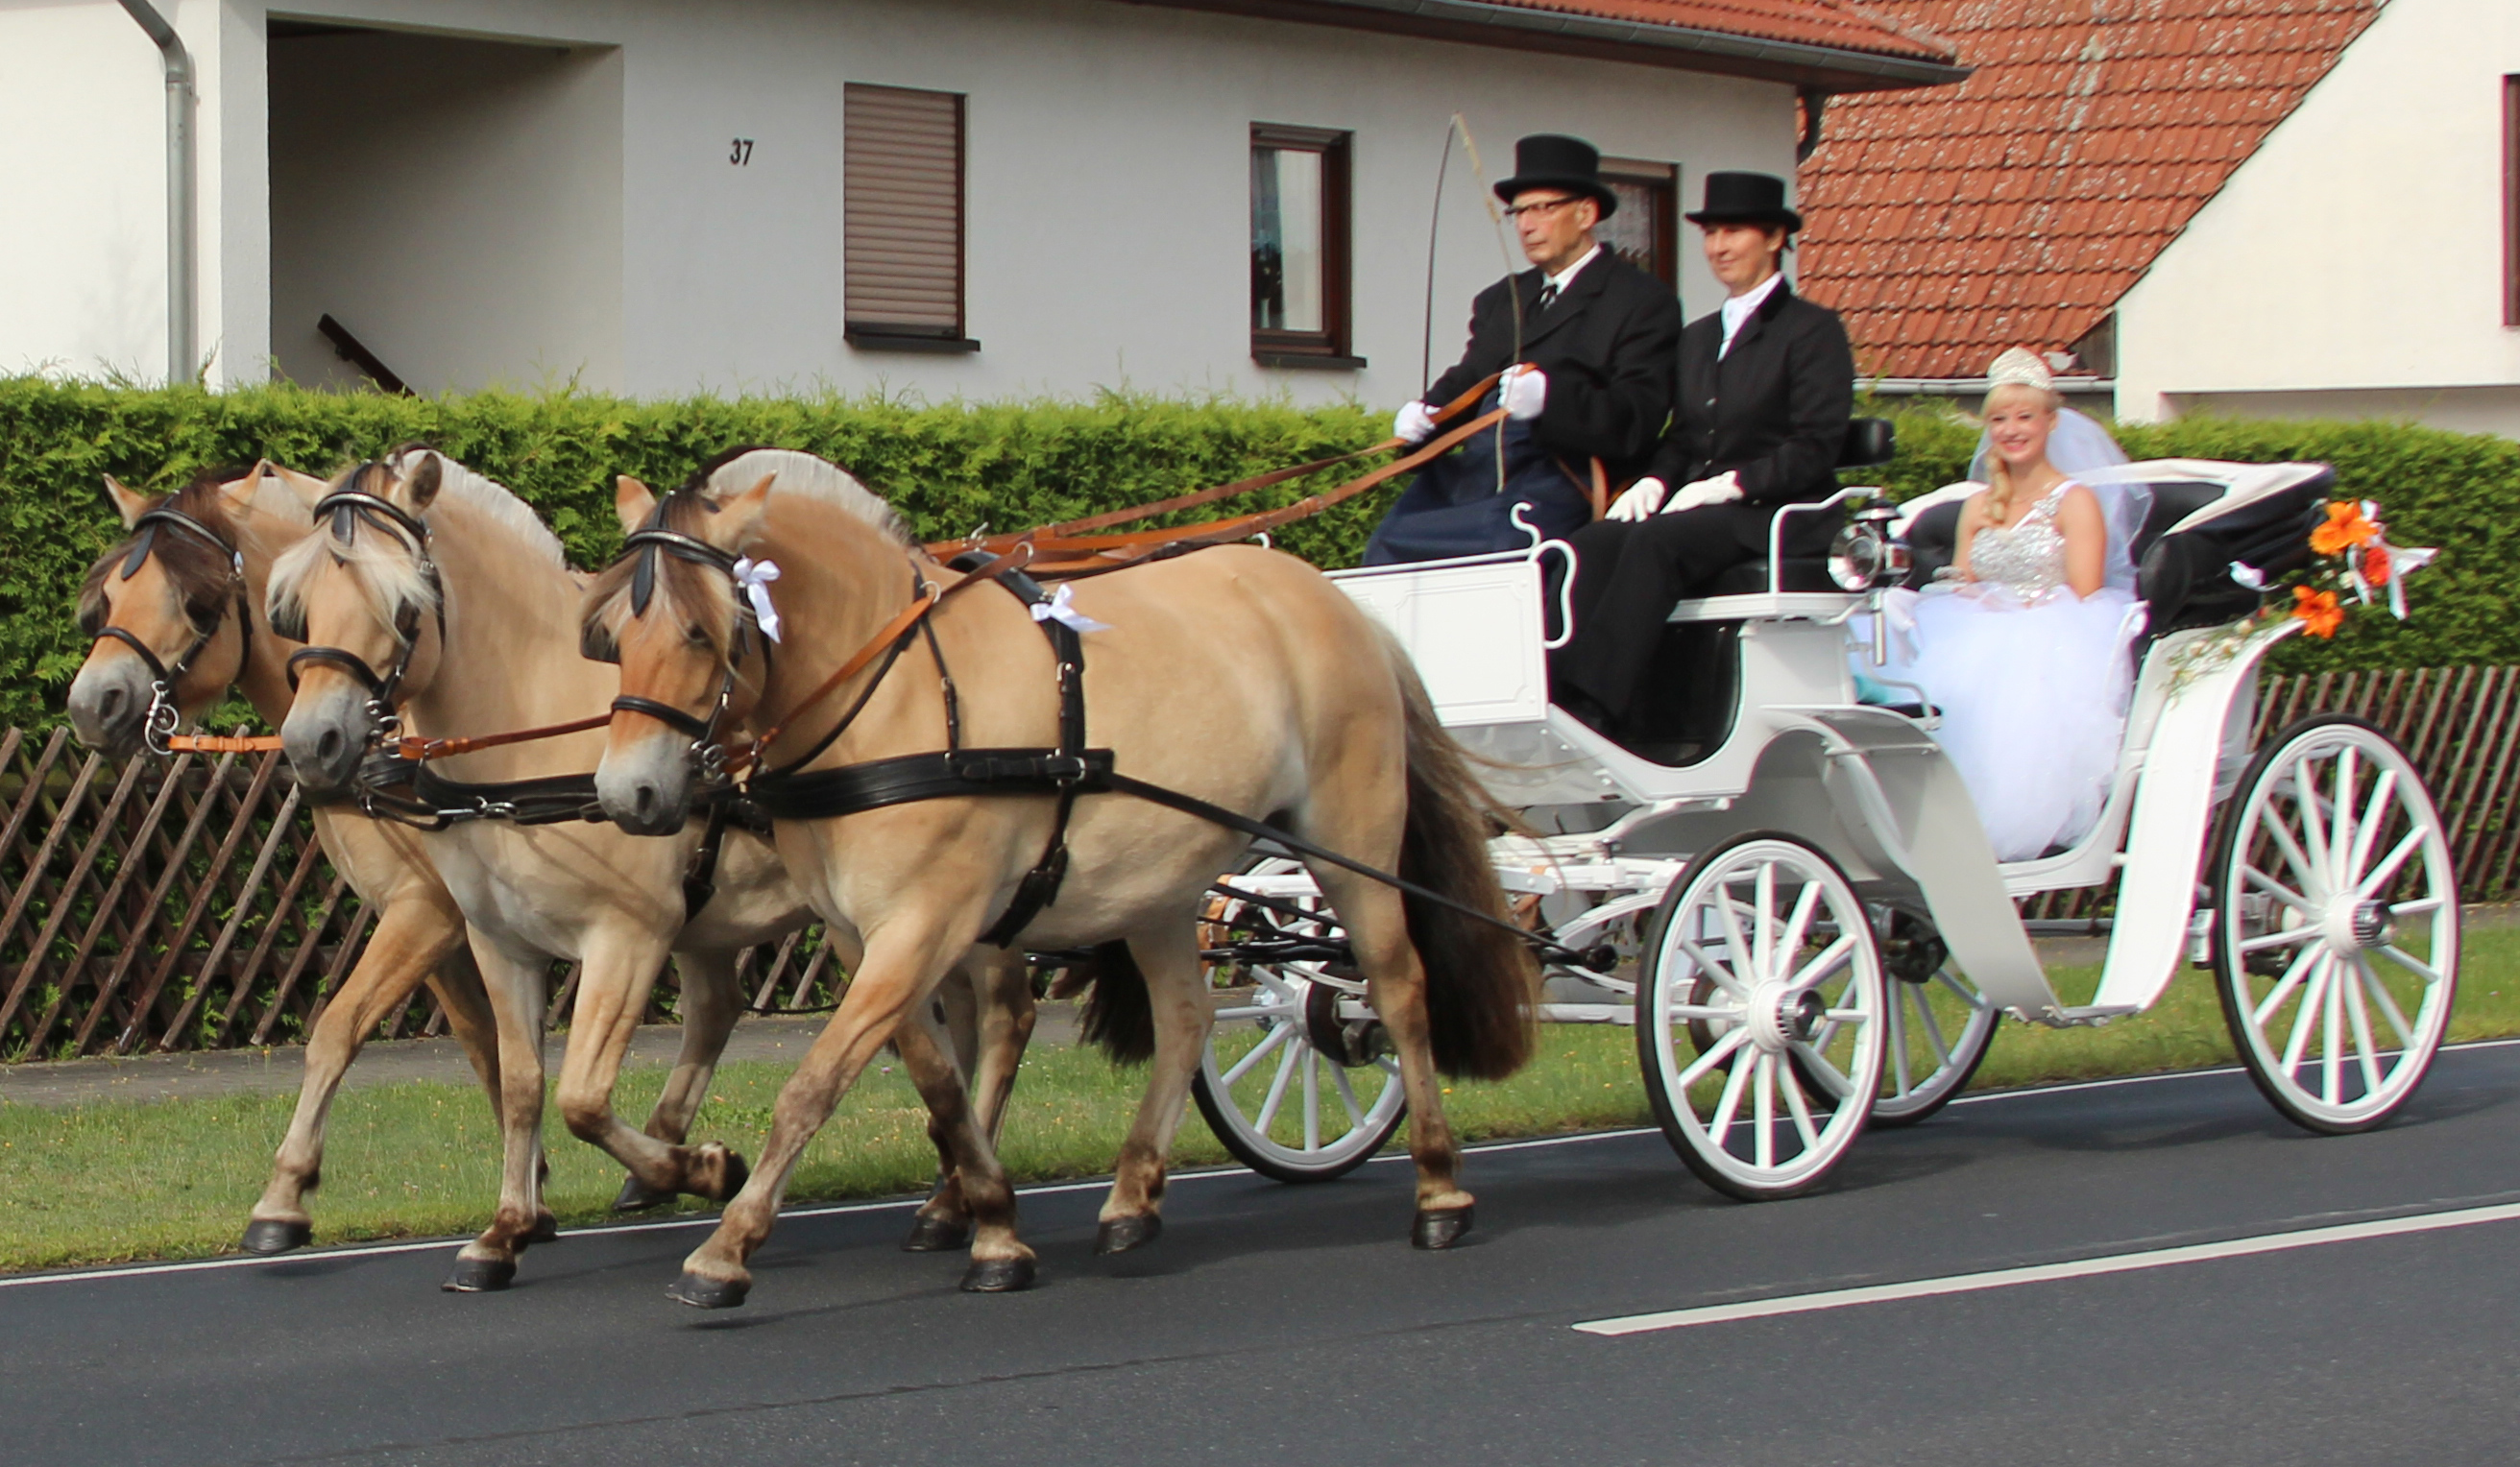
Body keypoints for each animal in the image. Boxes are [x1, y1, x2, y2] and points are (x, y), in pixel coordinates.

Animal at [268, 453, 1032, 1290]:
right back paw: (950, 1193)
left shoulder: (626, 938)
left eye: (404, 605)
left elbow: (582, 1098)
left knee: (1002, 1020)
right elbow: (522, 1082)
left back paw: (960, 1201)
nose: (311, 744)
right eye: (299, 607)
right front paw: (506, 1231)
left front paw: (702, 1167)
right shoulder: (499, 941)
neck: (533, 735)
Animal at [590, 448, 1532, 1311]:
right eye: (615, 639)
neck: (897, 694)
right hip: (1161, 883)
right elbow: (940, 1084)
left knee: (1397, 987)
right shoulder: (870, 939)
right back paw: (1131, 1198)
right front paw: (991, 1222)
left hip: (1348, 843)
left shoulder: (923, 925)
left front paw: (726, 1250)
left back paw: (1439, 1189)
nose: (627, 793)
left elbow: (813, 1087)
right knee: (1186, 1019)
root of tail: (1338, 602)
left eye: (701, 633)